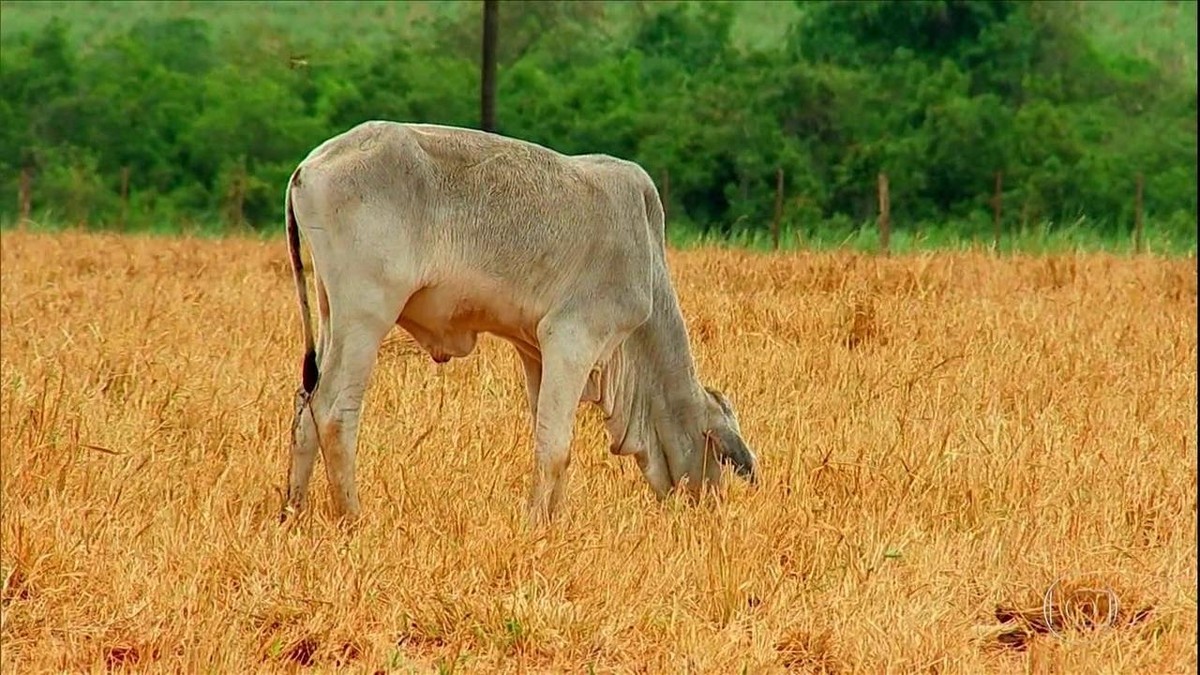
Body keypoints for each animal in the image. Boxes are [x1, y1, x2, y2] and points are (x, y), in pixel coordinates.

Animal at [278, 120, 758, 523]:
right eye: (716, 457)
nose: (708, 509)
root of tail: (309, 165)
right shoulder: (574, 338)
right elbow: (556, 445)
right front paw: (538, 524)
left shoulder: (537, 353)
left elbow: (548, 437)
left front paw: (550, 517)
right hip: (365, 315)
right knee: (333, 410)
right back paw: (353, 518)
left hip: (329, 313)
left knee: (305, 407)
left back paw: (293, 514)